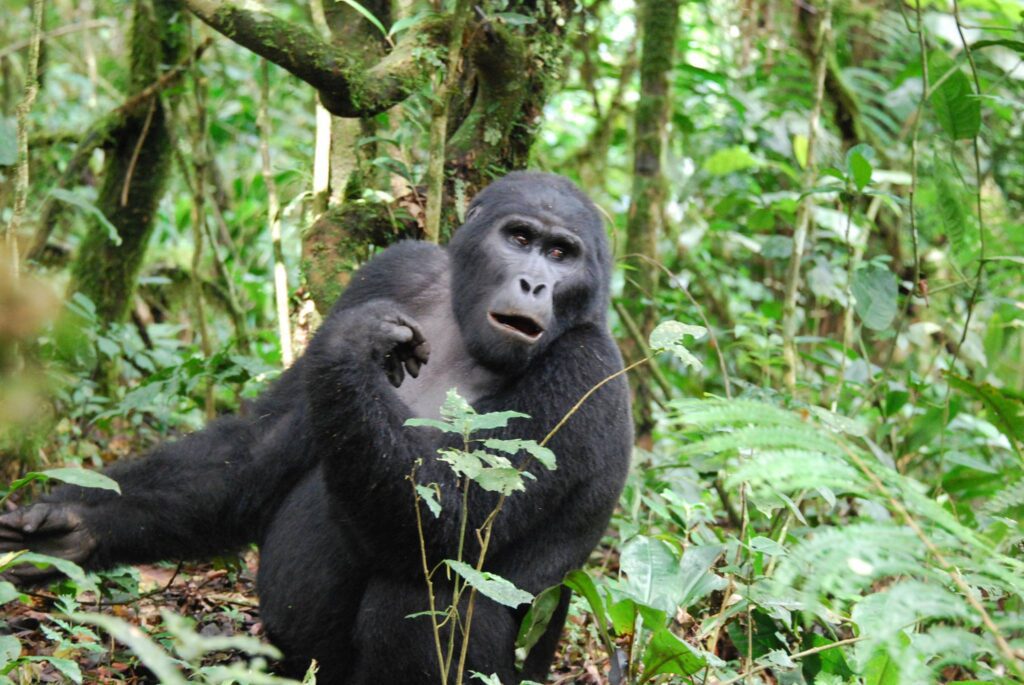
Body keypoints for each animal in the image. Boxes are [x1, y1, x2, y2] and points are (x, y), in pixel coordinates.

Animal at [0, 172, 630, 683]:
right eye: (520, 239)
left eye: (562, 253)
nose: (533, 285)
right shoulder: (394, 268)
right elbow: (258, 451)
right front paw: (71, 526)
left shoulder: (588, 372)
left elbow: (452, 520)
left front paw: (352, 345)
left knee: (427, 583)